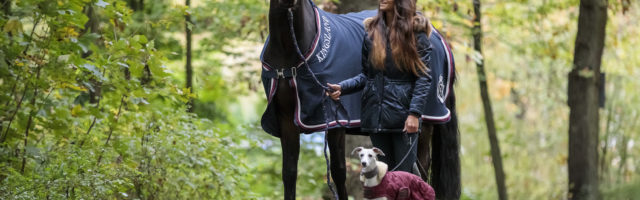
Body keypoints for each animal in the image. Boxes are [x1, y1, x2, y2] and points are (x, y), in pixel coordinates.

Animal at [260, 0, 460, 198]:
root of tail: (439, 38)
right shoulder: (286, 120)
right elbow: (289, 172)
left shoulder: (336, 121)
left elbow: (339, 171)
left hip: (425, 124)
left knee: (420, 167)